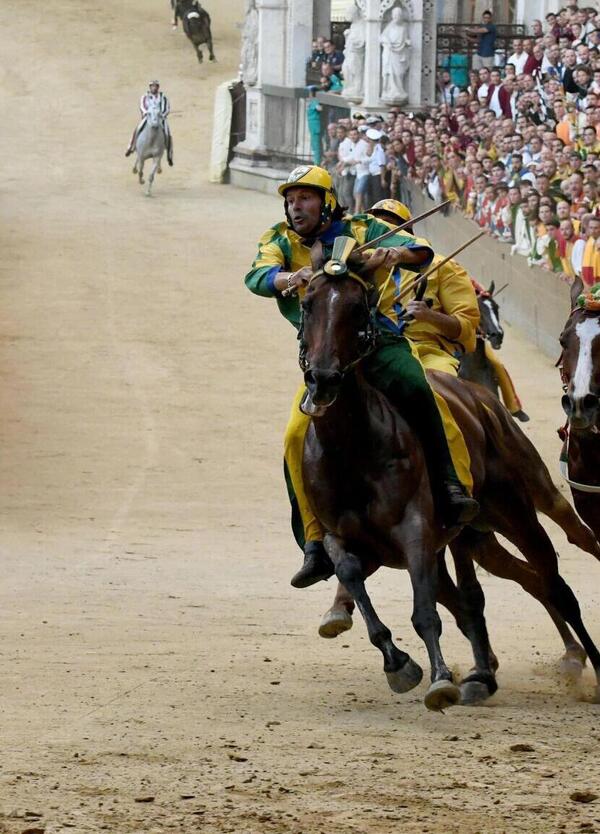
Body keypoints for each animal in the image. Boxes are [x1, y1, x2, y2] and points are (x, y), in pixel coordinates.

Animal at [300, 239, 600, 708]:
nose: (324, 378)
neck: (352, 448)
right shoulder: (348, 535)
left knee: (561, 571)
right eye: (308, 303)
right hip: (476, 536)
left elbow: (427, 611)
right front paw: (398, 662)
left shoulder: (416, 527)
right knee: (526, 582)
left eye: (357, 307)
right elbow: (350, 573)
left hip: (521, 504)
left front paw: (441, 679)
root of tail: (481, 401)